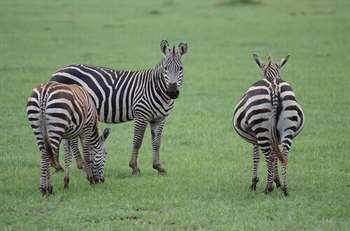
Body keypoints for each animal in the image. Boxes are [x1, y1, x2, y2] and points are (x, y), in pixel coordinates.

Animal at [50, 39, 189, 175]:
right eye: (165, 68)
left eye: (181, 68)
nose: (172, 92)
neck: (155, 87)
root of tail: (57, 71)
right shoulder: (141, 115)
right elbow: (137, 141)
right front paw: (134, 167)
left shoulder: (160, 118)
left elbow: (157, 142)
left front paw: (158, 167)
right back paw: (72, 165)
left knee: (67, 138)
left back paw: (67, 166)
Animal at [232, 54, 304, 195]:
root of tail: (273, 85)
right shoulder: (275, 137)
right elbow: (277, 155)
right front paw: (278, 182)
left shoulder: (255, 138)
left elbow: (256, 156)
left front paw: (254, 183)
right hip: (288, 127)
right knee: (284, 155)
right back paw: (285, 188)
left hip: (260, 128)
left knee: (268, 156)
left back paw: (268, 188)